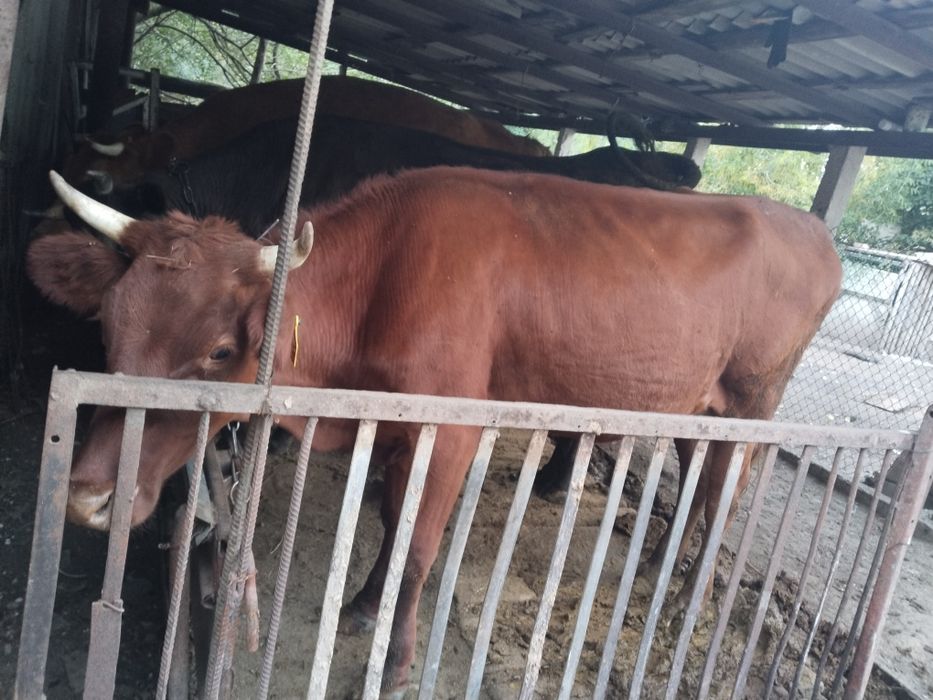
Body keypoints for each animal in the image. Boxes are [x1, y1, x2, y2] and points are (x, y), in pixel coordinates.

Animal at [29, 168, 841, 694]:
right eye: (109, 327)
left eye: (222, 351)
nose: (90, 496)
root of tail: (809, 227)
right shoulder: (392, 427)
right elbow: (391, 524)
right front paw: (364, 606)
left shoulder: (449, 429)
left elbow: (420, 546)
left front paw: (396, 664)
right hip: (698, 403)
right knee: (702, 474)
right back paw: (658, 566)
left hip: (754, 396)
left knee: (727, 485)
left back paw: (685, 592)